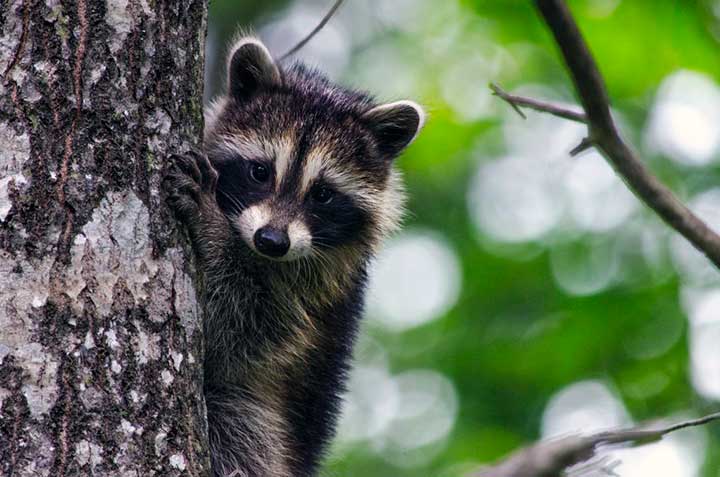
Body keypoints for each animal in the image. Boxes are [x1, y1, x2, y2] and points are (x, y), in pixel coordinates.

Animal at [165, 36, 422, 476]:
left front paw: (212, 228)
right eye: (260, 172)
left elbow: (236, 331)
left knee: (236, 424)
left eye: (322, 194)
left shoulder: (310, 292)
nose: (271, 240)